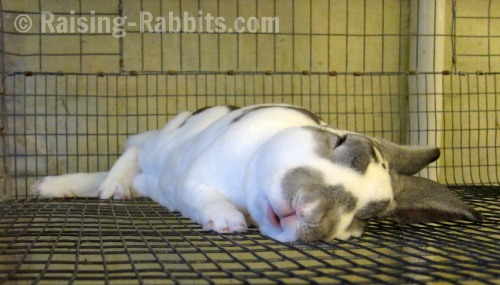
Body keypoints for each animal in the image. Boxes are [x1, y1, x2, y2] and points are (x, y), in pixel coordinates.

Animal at [33, 104, 482, 242]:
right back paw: (110, 188)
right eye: (339, 141)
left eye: (366, 215)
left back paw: (55, 187)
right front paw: (227, 221)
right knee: (133, 148)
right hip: (162, 142)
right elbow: (203, 195)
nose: (309, 209)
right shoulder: (194, 177)